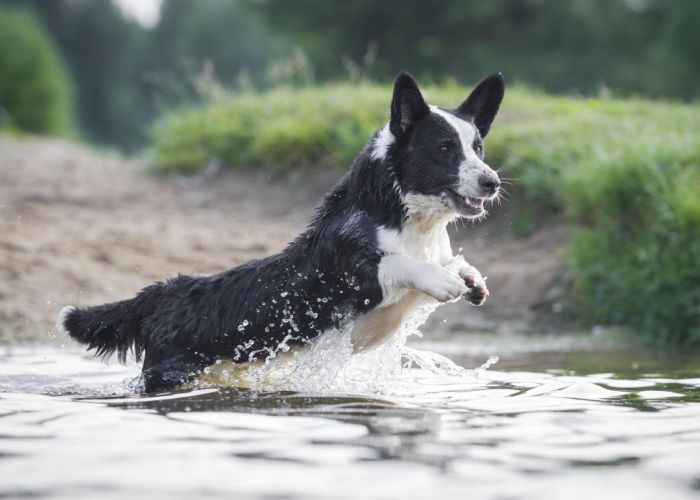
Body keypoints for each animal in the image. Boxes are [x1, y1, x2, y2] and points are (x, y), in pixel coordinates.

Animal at [58, 72, 504, 392]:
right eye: (444, 148)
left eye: (478, 148)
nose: (492, 183)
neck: (407, 216)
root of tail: (162, 292)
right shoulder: (348, 272)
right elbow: (399, 262)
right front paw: (443, 281)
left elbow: (452, 260)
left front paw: (470, 278)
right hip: (171, 372)